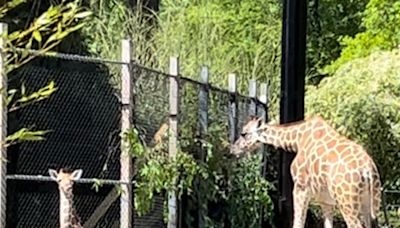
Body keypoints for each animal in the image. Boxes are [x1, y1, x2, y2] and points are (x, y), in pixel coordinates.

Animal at [231, 116, 382, 228]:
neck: (297, 140)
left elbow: (298, 223)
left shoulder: (300, 186)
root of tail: (368, 170)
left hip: (347, 202)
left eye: (243, 133)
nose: (232, 150)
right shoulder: (326, 200)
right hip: (368, 202)